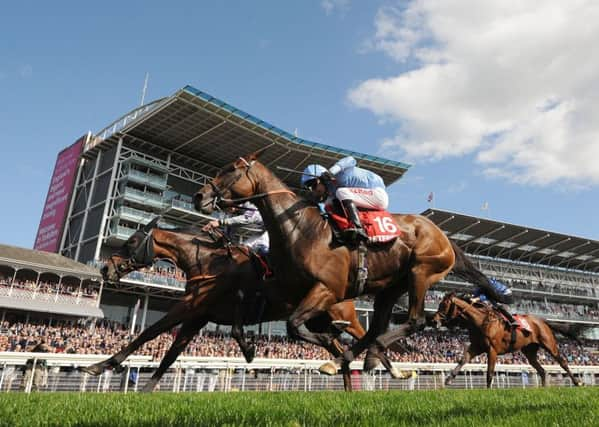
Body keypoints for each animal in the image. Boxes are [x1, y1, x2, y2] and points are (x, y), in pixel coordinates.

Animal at [79, 219, 398, 392]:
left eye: (132, 241)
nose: (106, 268)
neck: (207, 262)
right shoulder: (198, 314)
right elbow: (171, 352)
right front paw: (143, 387)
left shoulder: (190, 307)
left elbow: (148, 334)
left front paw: (99, 366)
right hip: (316, 320)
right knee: (338, 347)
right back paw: (347, 385)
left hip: (344, 317)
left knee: (369, 337)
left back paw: (394, 371)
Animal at [192, 155, 502, 376]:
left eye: (230, 170)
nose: (199, 196)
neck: (302, 229)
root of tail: (444, 237)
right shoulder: (285, 291)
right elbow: (273, 322)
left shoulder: (326, 289)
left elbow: (294, 325)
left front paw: (328, 340)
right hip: (390, 287)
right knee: (375, 328)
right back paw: (357, 357)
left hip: (421, 273)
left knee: (415, 321)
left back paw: (369, 352)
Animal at [434, 294, 584, 388]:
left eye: (444, 305)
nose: (434, 320)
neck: (481, 321)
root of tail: (543, 321)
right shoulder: (477, 346)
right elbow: (463, 360)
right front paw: (448, 379)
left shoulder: (492, 349)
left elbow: (489, 371)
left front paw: (488, 390)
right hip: (529, 350)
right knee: (542, 370)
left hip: (549, 344)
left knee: (562, 362)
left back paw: (577, 382)